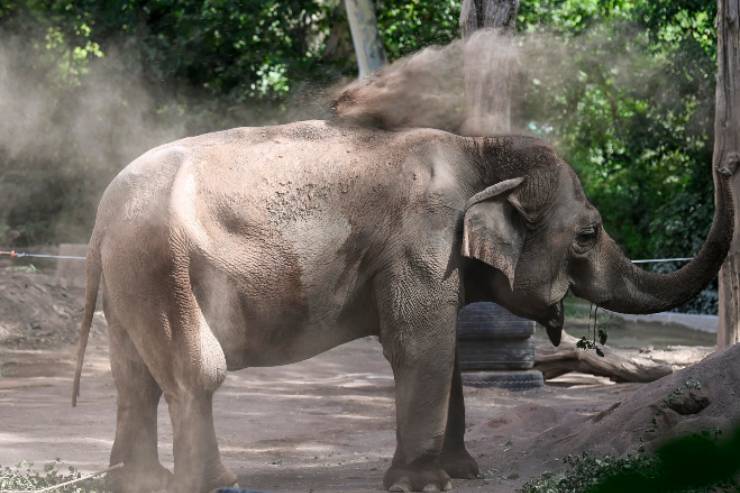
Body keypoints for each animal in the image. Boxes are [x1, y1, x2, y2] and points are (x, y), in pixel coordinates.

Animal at [71, 120, 736, 492]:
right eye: (589, 234)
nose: (727, 165)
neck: (478, 149)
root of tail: (102, 215)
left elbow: (447, 354)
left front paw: (463, 471)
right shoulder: (421, 243)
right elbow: (422, 347)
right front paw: (422, 485)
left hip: (132, 277)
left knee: (135, 377)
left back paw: (138, 481)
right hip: (163, 265)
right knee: (193, 373)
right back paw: (214, 485)